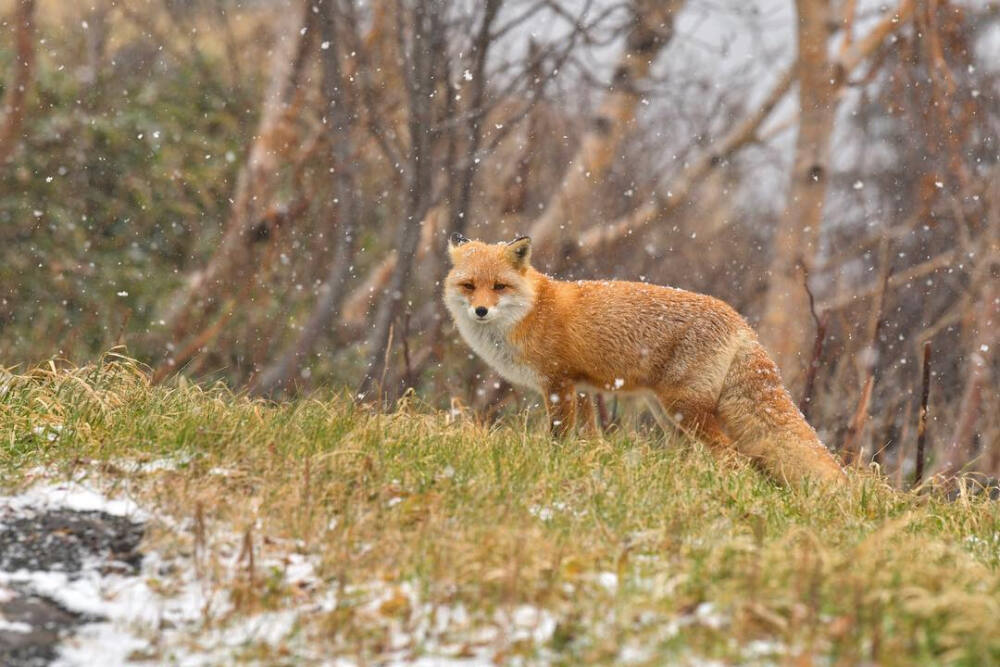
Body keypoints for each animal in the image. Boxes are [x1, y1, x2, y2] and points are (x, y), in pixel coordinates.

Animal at [444, 234, 844, 486]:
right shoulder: (582, 387)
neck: (531, 311)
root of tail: (742, 322)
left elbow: (559, 435)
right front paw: (591, 460)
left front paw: (553, 461)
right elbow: (591, 436)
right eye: (469, 286)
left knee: (732, 456)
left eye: (499, 287)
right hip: (668, 415)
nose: (480, 311)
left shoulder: (558, 383)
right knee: (691, 453)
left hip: (684, 408)